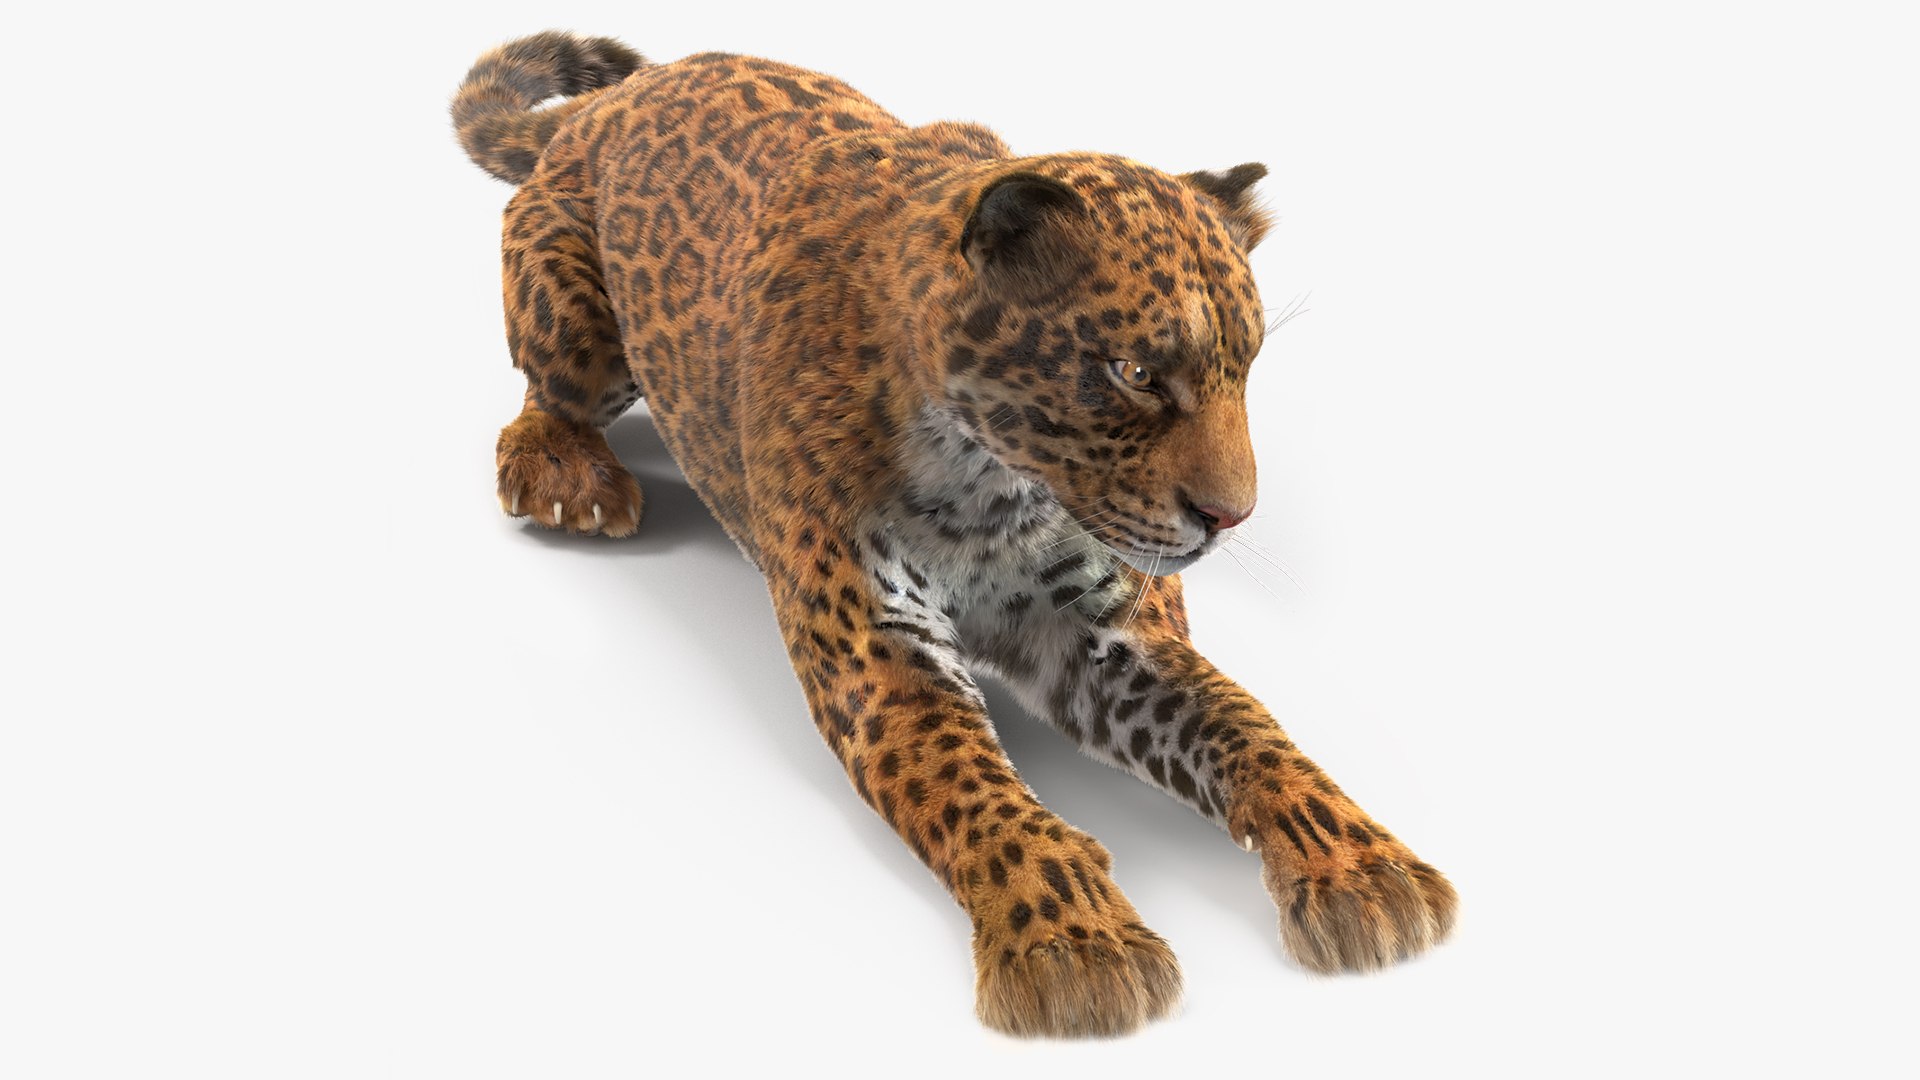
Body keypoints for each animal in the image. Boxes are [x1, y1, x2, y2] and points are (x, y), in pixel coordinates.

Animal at [452, 31, 1456, 1037]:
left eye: (1244, 370)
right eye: (1133, 373)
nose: (1232, 516)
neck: (993, 489)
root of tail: (616, 100)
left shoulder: (1105, 632)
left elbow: (1248, 726)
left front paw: (1367, 870)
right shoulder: (878, 648)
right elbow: (974, 789)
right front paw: (1075, 947)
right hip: (576, 323)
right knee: (542, 400)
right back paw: (567, 479)